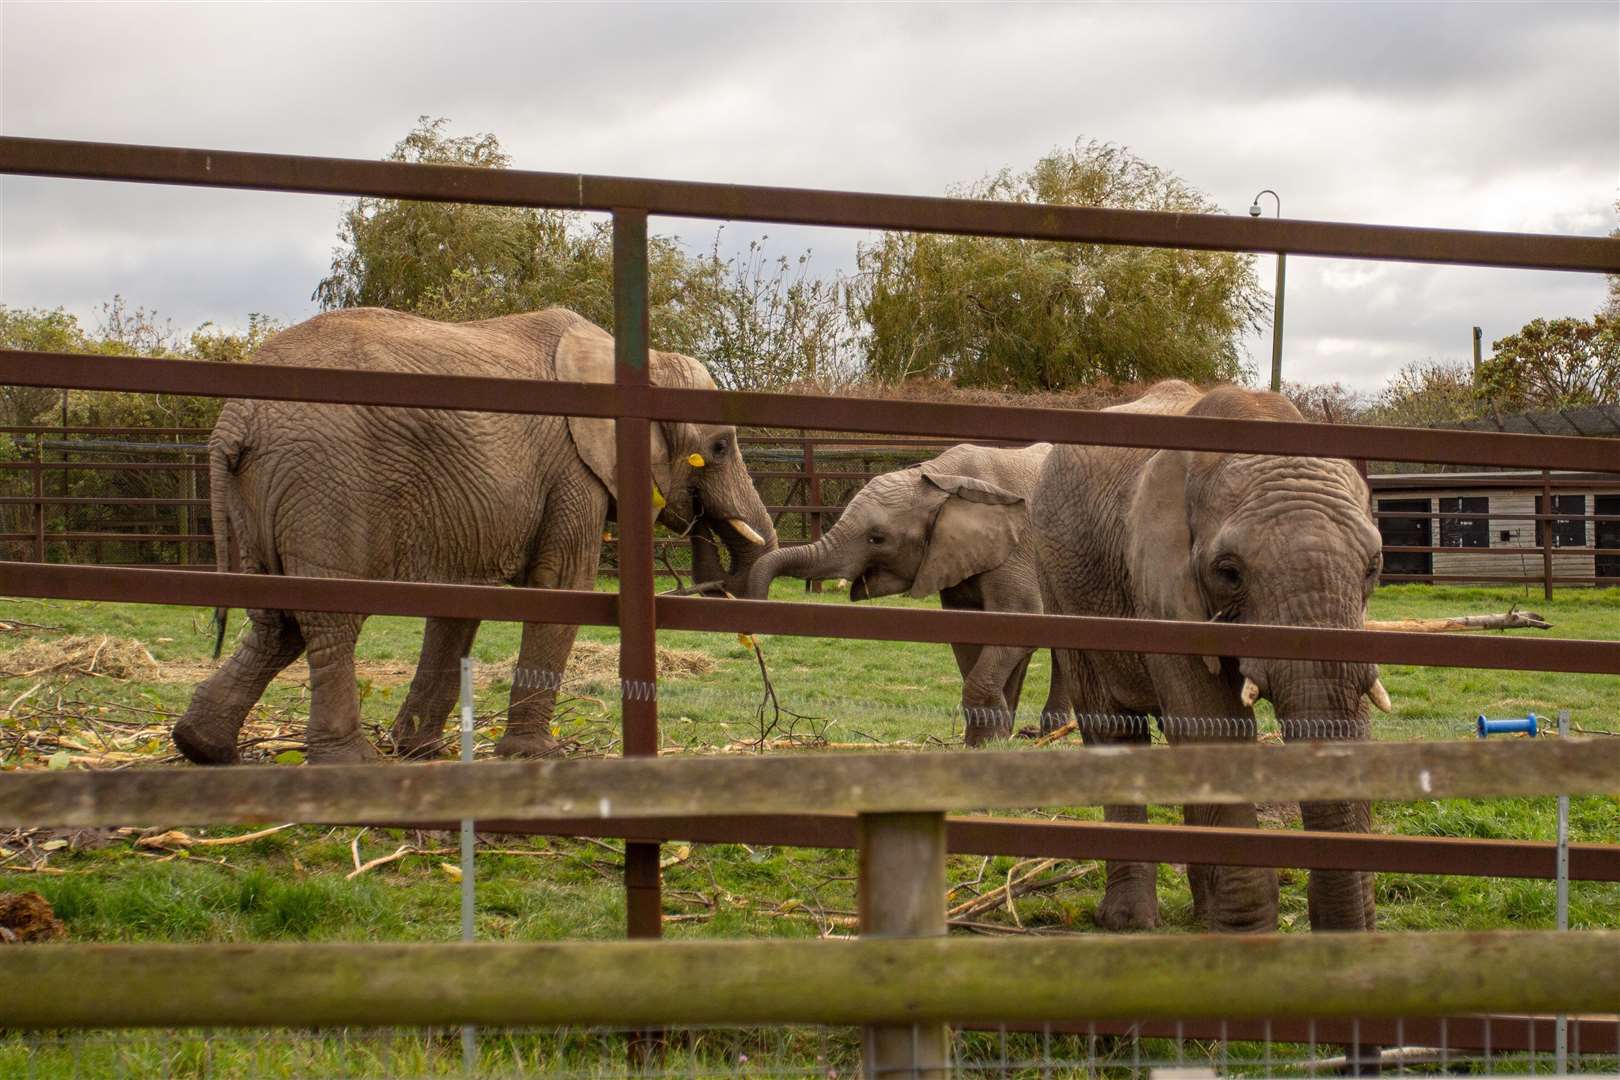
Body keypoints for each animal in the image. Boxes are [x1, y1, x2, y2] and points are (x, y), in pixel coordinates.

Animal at [174, 306, 780, 767]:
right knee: (328, 617)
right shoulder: (572, 471)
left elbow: (461, 598)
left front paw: (421, 750)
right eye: (720, 447)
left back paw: (203, 747)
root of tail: (234, 421)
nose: (703, 530)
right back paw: (348, 763)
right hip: (324, 482)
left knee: (275, 622)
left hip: (263, 492)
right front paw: (536, 756)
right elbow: (562, 586)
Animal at [741, 443, 1062, 748]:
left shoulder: (1017, 549)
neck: (941, 476)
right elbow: (970, 636)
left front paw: (986, 742)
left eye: (877, 538)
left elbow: (1020, 622)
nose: (755, 635)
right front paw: (988, 741)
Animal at [1036, 382, 1393, 939]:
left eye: (1373, 566)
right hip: (1060, 586)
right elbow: (1215, 728)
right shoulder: (1159, 583)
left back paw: (1202, 915)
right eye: (1229, 572)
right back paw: (1129, 923)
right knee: (1115, 730)